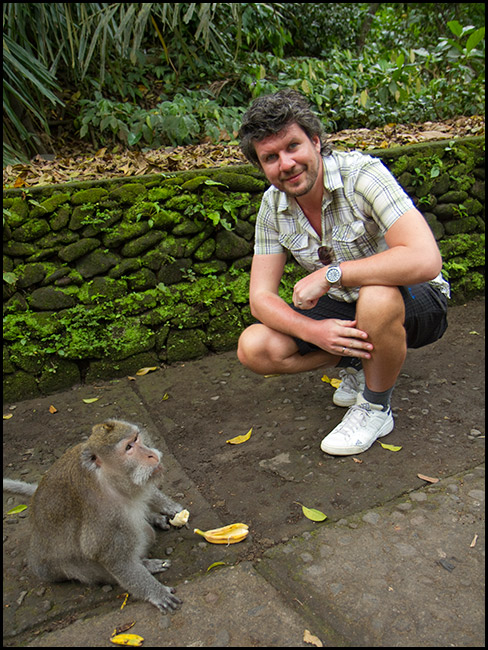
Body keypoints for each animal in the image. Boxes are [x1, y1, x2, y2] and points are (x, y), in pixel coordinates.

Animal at [3, 418, 185, 612]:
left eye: (136, 438)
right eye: (128, 447)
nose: (151, 455)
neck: (107, 478)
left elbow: (146, 491)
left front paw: (171, 508)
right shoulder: (105, 514)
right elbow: (111, 558)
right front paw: (156, 592)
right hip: (74, 570)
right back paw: (145, 564)